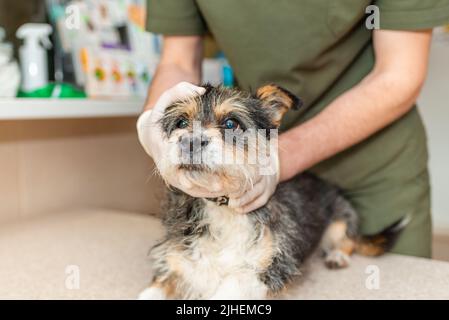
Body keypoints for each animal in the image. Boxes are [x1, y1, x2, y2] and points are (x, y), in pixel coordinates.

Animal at [139, 84, 406, 298]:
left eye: (231, 123)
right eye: (181, 123)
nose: (190, 141)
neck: (222, 206)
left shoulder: (273, 266)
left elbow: (233, 283)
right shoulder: (176, 261)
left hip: (340, 223)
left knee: (347, 241)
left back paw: (337, 256)